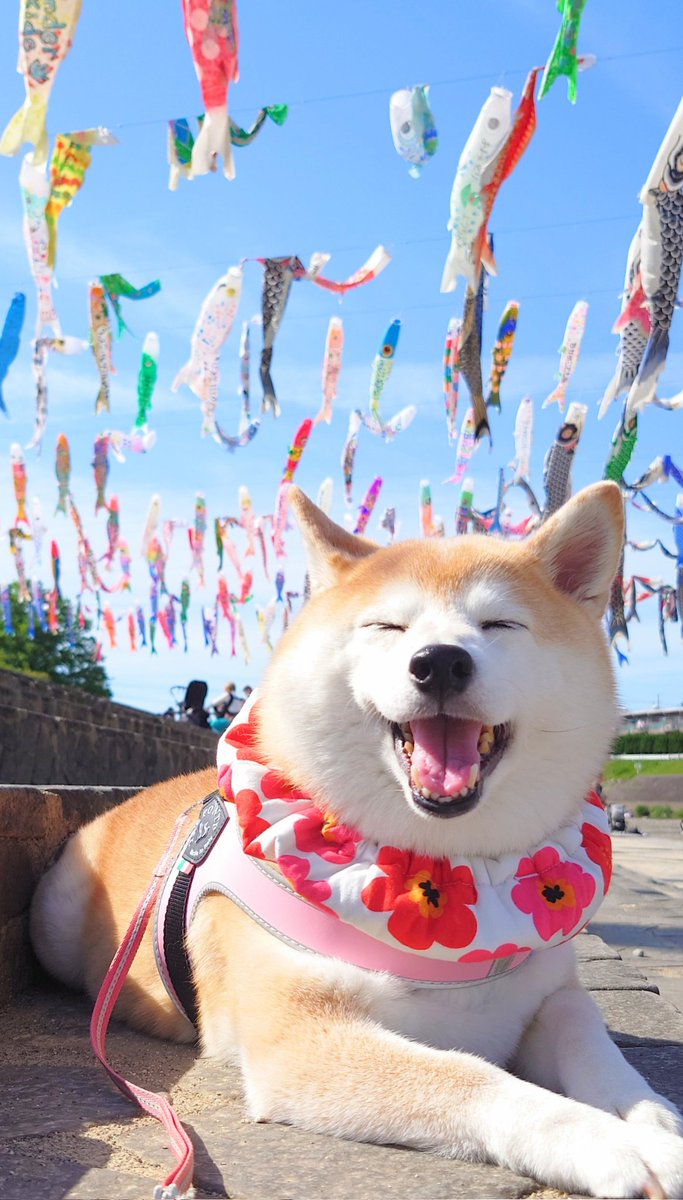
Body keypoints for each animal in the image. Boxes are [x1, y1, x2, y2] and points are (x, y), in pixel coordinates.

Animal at [30, 482, 681, 1195]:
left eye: (500, 625)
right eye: (386, 627)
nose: (440, 662)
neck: (445, 866)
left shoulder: (551, 996)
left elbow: (600, 1054)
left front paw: (652, 1120)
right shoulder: (303, 1036)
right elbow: (474, 1075)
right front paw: (614, 1144)